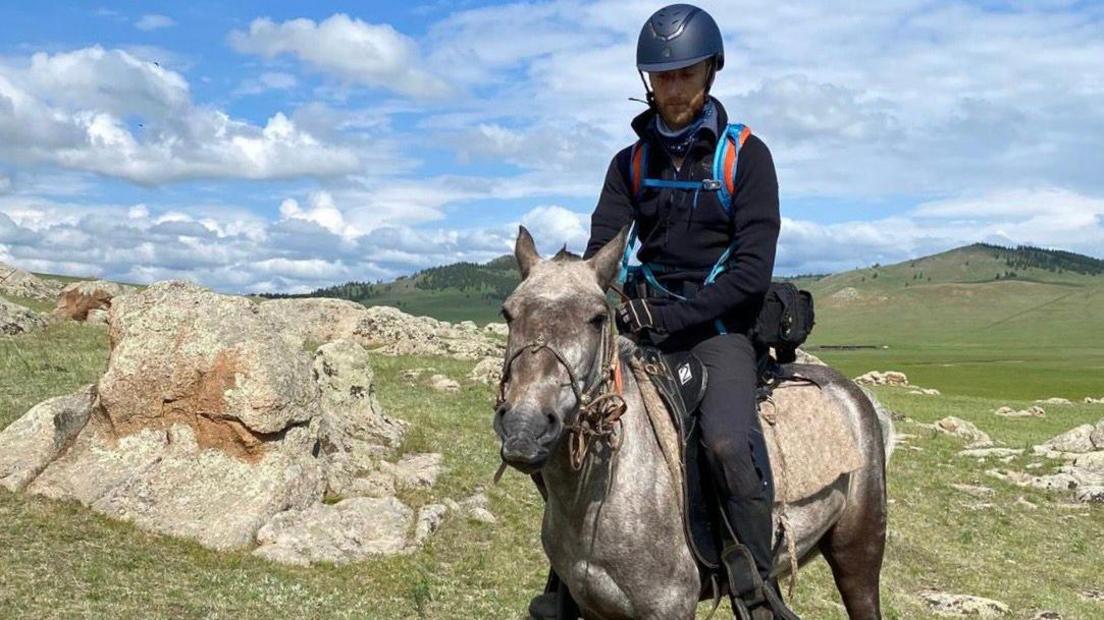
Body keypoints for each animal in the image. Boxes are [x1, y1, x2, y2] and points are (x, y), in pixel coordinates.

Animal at [496, 227, 892, 617]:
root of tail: (856, 395)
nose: (524, 429)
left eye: (597, 319)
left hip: (857, 555)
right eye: (508, 313)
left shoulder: (669, 607)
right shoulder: (594, 608)